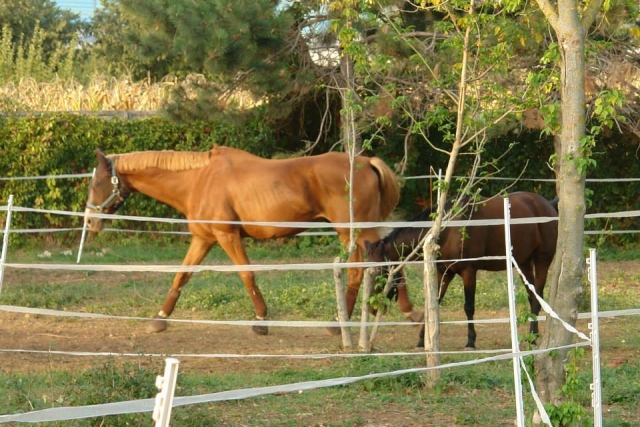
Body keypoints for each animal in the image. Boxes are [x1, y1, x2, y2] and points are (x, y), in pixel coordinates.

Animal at [84, 145, 422, 335]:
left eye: (98, 182)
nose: (89, 221)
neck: (199, 179)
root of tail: (367, 162)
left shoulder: (227, 236)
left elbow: (246, 274)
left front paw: (261, 320)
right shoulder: (203, 239)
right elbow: (182, 276)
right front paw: (160, 318)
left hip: (356, 231)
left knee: (371, 267)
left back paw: (351, 322)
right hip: (360, 232)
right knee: (383, 263)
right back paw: (399, 314)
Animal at [365, 191, 558, 349]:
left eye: (380, 273)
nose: (373, 308)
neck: (448, 229)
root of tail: (547, 204)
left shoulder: (468, 271)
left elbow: (469, 307)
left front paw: (471, 341)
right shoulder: (444, 273)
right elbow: (433, 304)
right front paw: (422, 340)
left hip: (542, 260)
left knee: (538, 297)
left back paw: (533, 337)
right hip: (523, 263)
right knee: (532, 296)